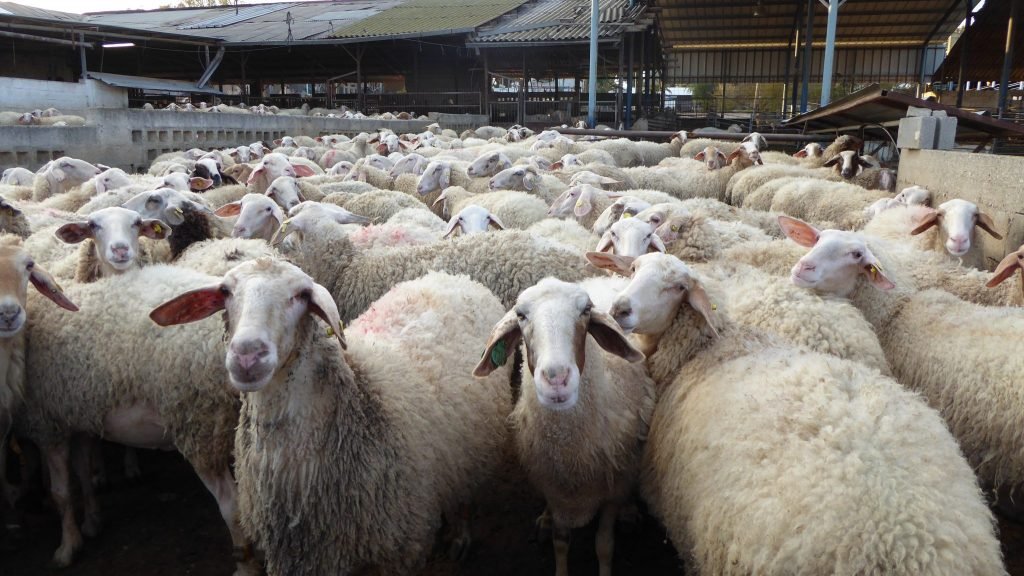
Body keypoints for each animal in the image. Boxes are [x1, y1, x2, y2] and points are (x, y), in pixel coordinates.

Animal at [19, 263, 258, 574]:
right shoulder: (80, 416)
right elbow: (83, 472)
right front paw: (92, 522)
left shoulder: (49, 423)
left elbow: (62, 493)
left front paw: (67, 547)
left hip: (200, 424)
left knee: (233, 505)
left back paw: (246, 566)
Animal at [151, 262, 511, 575]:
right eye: (225, 291)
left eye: (301, 295)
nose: (248, 355)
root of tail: (451, 277)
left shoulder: (396, 551)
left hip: (473, 452)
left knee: (465, 495)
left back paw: (459, 536)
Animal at [474, 278, 652, 576]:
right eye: (520, 315)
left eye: (586, 310)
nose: (556, 379)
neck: (570, 451)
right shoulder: (555, 489)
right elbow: (561, 542)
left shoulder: (612, 489)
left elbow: (604, 544)